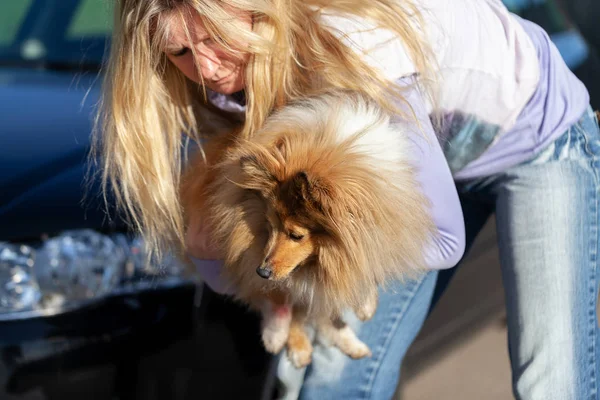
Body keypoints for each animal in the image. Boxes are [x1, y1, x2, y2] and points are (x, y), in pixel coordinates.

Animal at [180, 91, 434, 368]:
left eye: (296, 235)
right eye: (269, 226)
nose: (262, 271)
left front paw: (365, 305)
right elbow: (282, 298)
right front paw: (280, 334)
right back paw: (294, 343)